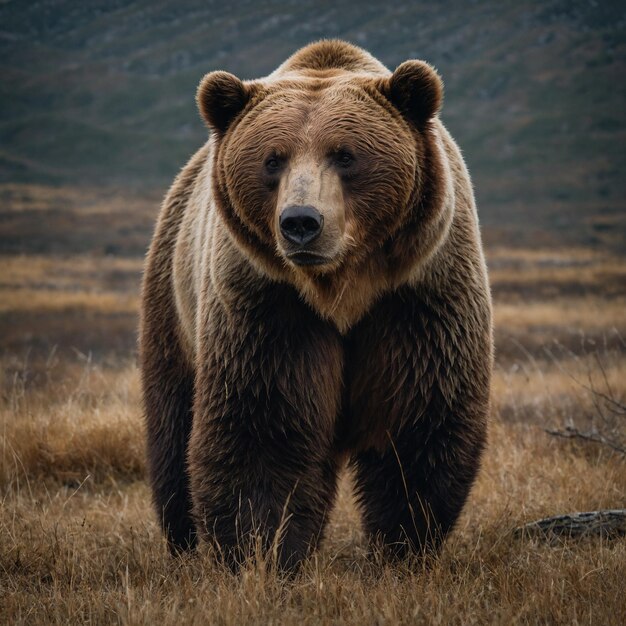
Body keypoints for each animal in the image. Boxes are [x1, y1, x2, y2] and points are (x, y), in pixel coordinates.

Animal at [139, 37, 490, 564]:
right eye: (273, 159)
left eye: (345, 156)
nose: (301, 222)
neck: (340, 287)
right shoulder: (269, 305)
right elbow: (265, 429)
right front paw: (259, 552)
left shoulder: (417, 297)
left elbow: (416, 419)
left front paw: (403, 545)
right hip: (174, 302)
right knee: (172, 423)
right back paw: (183, 541)